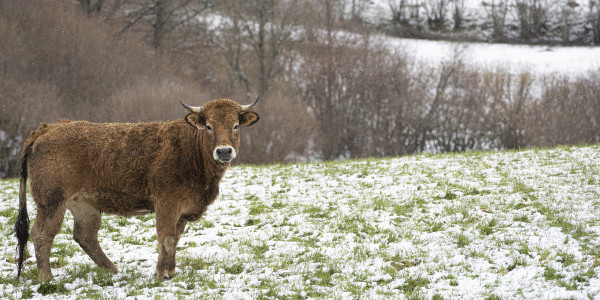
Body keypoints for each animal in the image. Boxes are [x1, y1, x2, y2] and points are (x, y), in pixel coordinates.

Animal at [14, 97, 260, 280]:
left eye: (235, 125)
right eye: (209, 126)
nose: (224, 151)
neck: (192, 151)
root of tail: (49, 127)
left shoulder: (183, 210)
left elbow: (175, 238)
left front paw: (170, 269)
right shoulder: (167, 203)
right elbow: (166, 236)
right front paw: (163, 274)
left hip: (84, 204)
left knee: (85, 235)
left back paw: (112, 269)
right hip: (52, 202)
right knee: (42, 233)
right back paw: (47, 278)